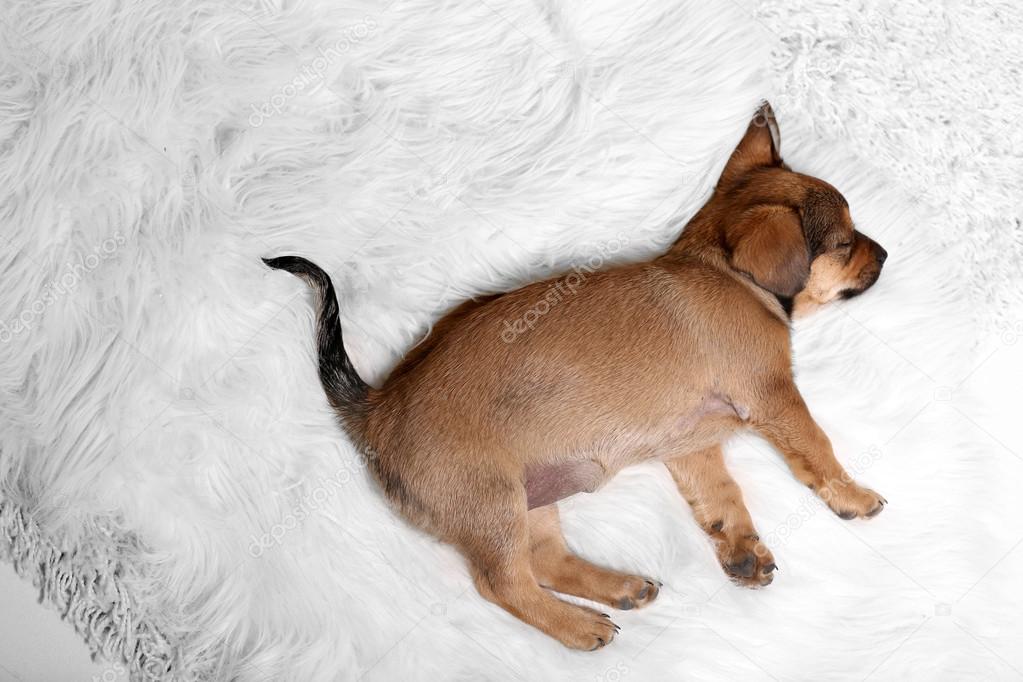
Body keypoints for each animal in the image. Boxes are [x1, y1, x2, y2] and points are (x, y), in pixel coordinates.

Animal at [263, 101, 887, 650]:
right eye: (845, 243)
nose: (884, 254)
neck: (724, 271)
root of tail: (376, 408)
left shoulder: (693, 449)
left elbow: (723, 499)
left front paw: (742, 552)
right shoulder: (776, 397)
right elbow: (817, 450)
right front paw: (852, 496)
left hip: (530, 499)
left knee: (545, 560)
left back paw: (620, 588)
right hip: (493, 504)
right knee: (502, 584)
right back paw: (578, 627)